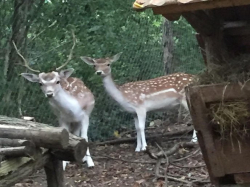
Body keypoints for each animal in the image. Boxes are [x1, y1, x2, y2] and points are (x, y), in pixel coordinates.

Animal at [15, 31, 95, 168]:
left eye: (57, 81)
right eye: (40, 83)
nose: (49, 94)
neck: (73, 110)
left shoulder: (85, 116)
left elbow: (85, 136)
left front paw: (90, 162)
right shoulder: (61, 119)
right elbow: (65, 138)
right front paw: (63, 164)